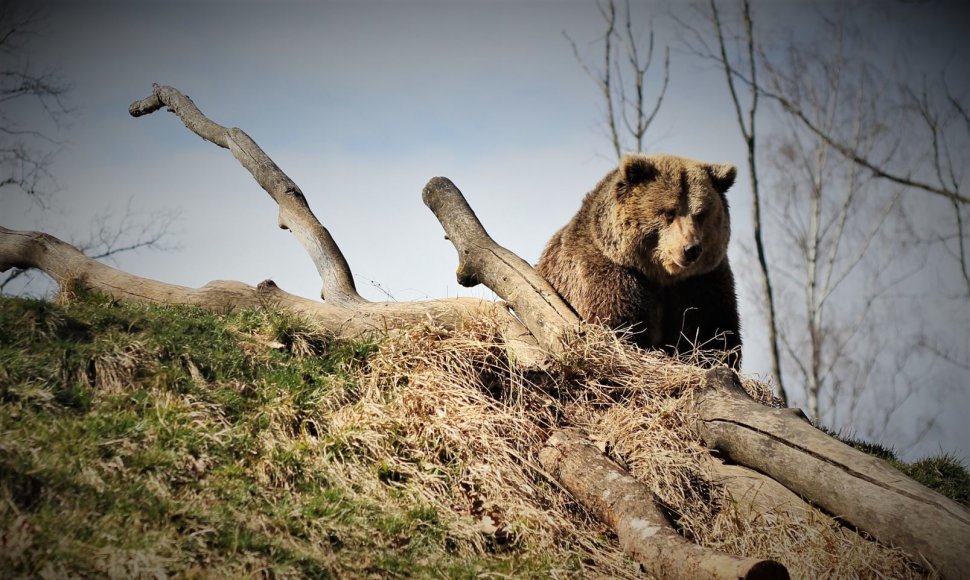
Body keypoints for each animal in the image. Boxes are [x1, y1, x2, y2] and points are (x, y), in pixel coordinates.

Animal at [536, 154, 740, 368]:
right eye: (669, 212)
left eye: (700, 214)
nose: (691, 249)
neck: (661, 276)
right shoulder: (611, 274)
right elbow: (620, 324)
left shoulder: (702, 281)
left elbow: (714, 332)